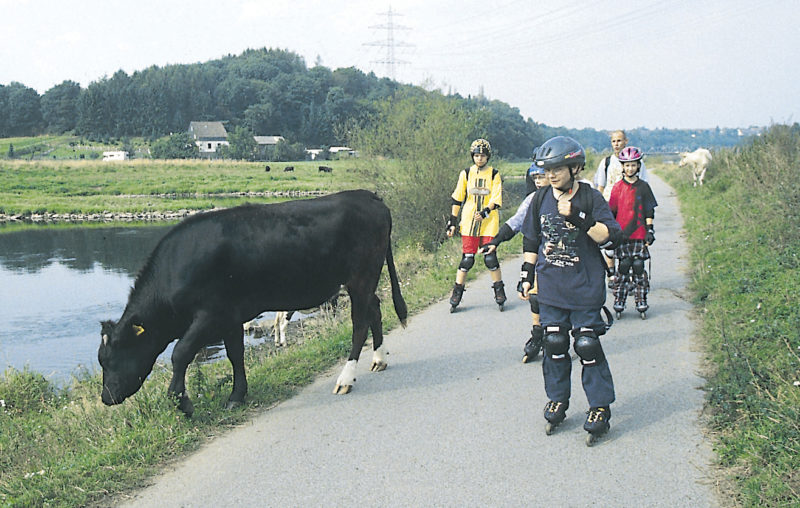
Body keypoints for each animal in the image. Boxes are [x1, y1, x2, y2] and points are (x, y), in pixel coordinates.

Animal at [100, 189, 410, 414]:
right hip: (365, 280)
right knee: (375, 309)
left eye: (111, 358)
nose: (106, 397)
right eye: (101, 360)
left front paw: (182, 403)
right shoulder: (230, 316)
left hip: (361, 276)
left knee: (359, 323)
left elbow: (181, 353)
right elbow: (235, 354)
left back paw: (345, 378)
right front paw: (237, 396)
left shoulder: (210, 315)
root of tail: (367, 195)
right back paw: (379, 359)